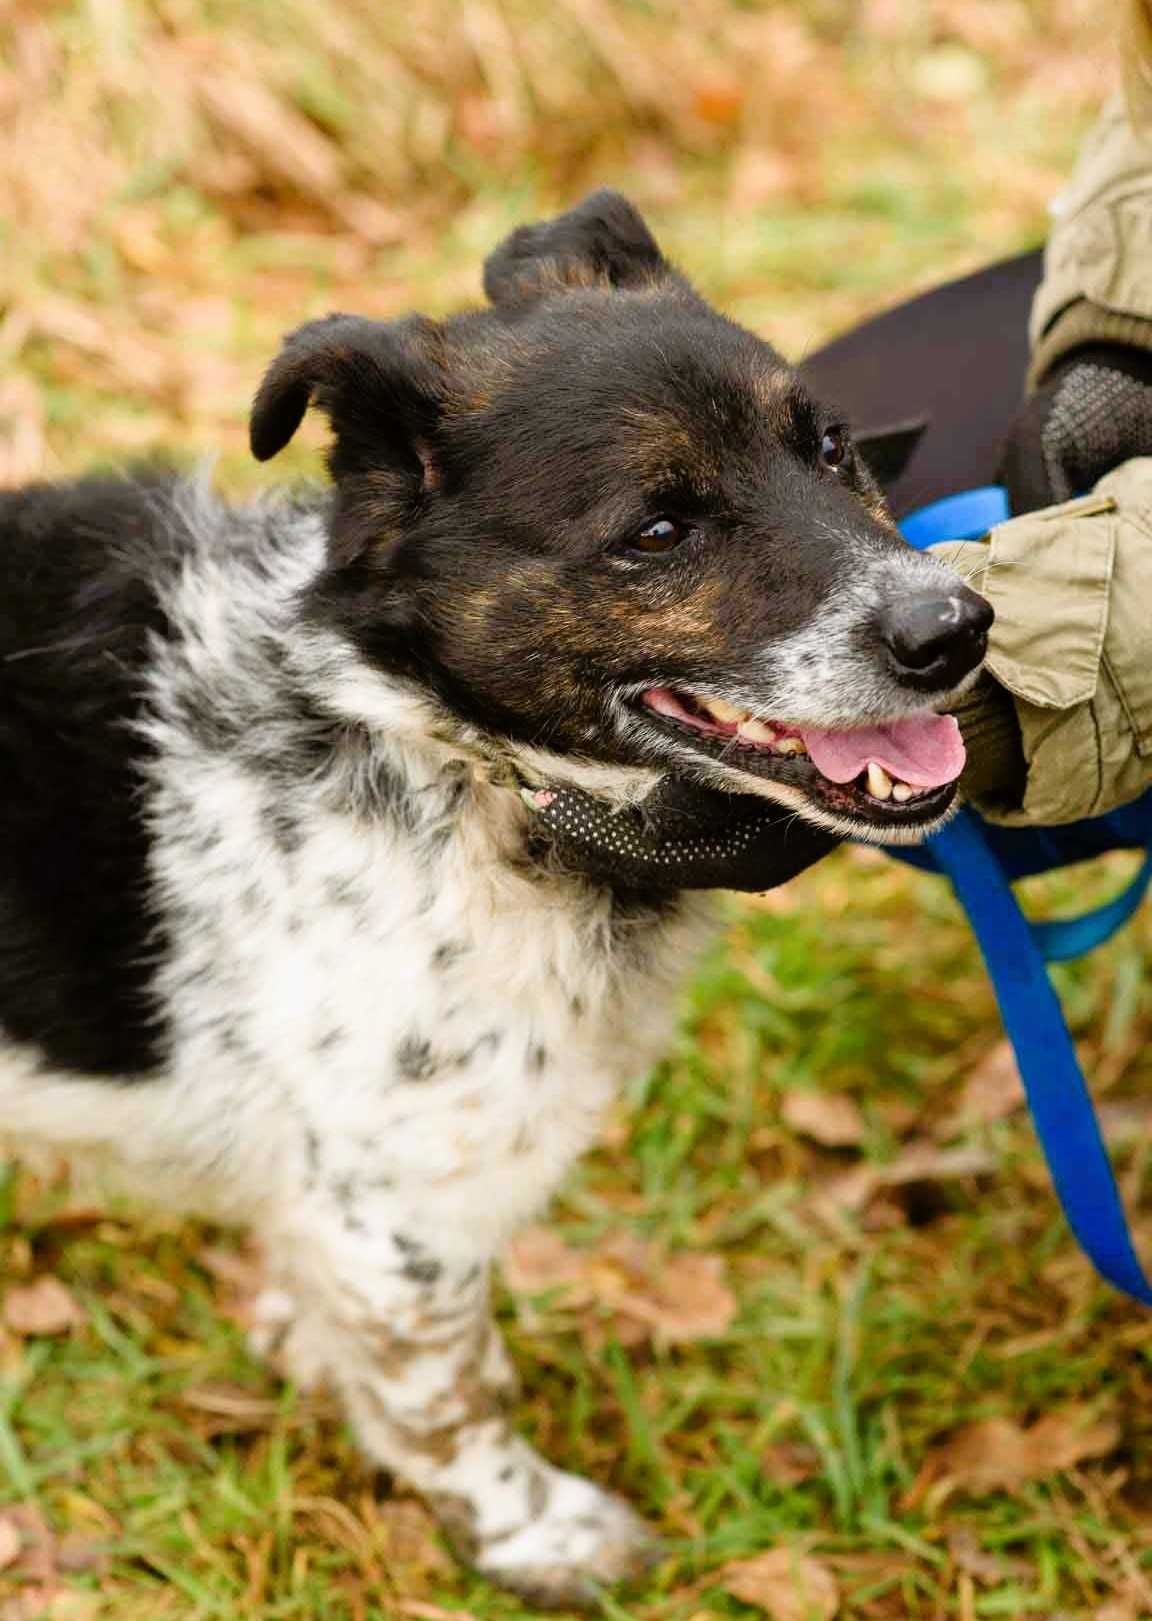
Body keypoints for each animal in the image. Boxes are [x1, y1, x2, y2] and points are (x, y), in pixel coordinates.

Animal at [0, 192, 991, 1608]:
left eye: (832, 445)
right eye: (658, 530)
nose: (957, 627)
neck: (448, 756)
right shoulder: (399, 1207)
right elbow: (452, 1395)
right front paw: (533, 1533)